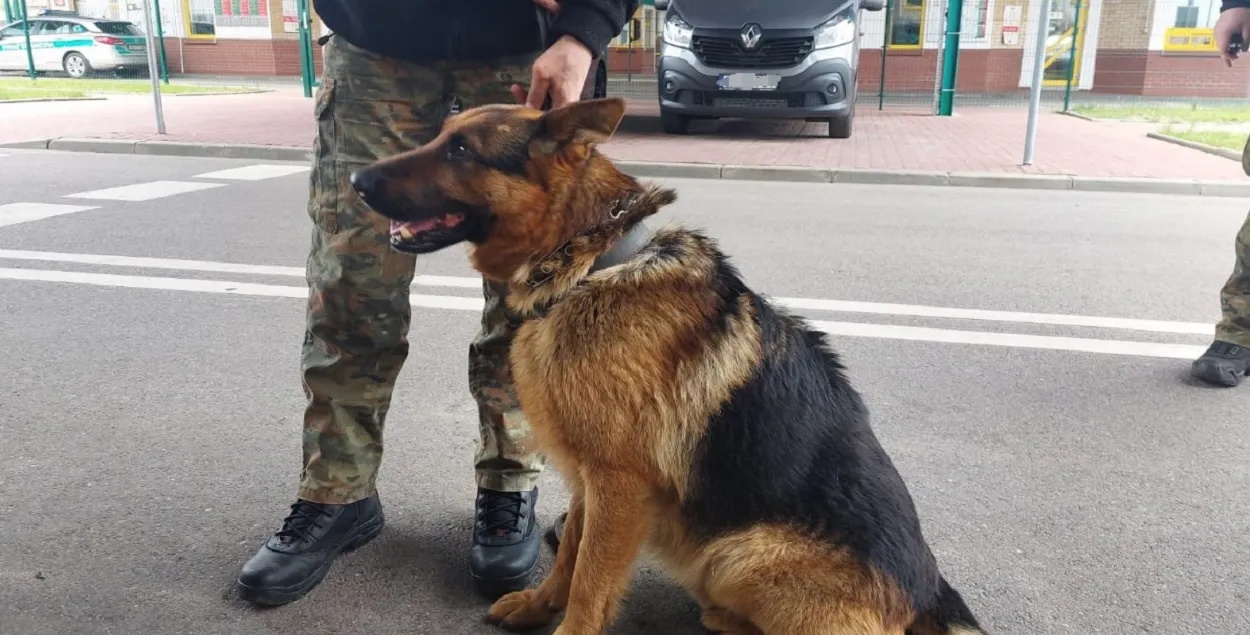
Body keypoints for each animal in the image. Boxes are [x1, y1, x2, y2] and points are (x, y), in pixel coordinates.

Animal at [350, 98, 985, 635]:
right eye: (442, 136)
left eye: (460, 150)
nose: (355, 181)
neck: (590, 264)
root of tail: (931, 595)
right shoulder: (589, 479)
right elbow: (570, 554)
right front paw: (538, 604)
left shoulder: (619, 487)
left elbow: (590, 583)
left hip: (738, 556)